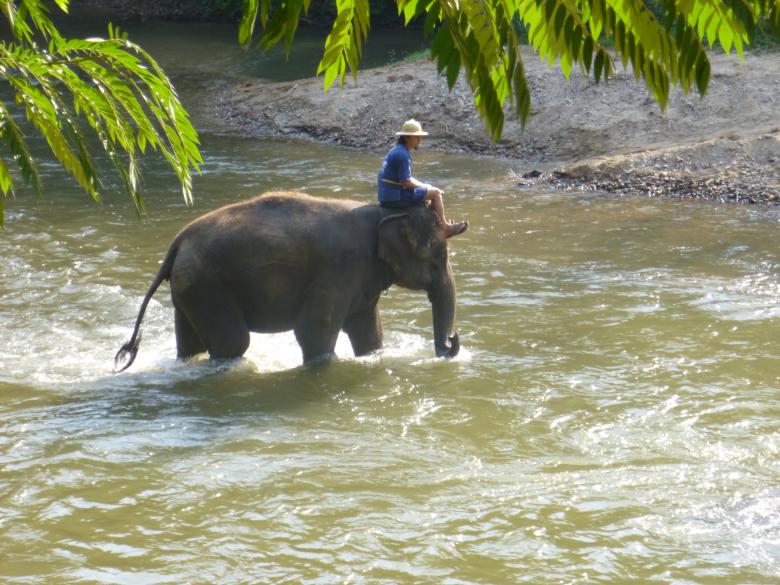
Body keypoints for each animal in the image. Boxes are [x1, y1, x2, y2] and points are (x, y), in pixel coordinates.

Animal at [114, 191, 465, 372]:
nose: (452, 341)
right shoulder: (340, 268)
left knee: (191, 345)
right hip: (207, 286)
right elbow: (315, 330)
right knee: (234, 343)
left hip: (189, 288)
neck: (385, 212)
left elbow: (368, 331)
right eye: (438, 257)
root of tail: (175, 244)